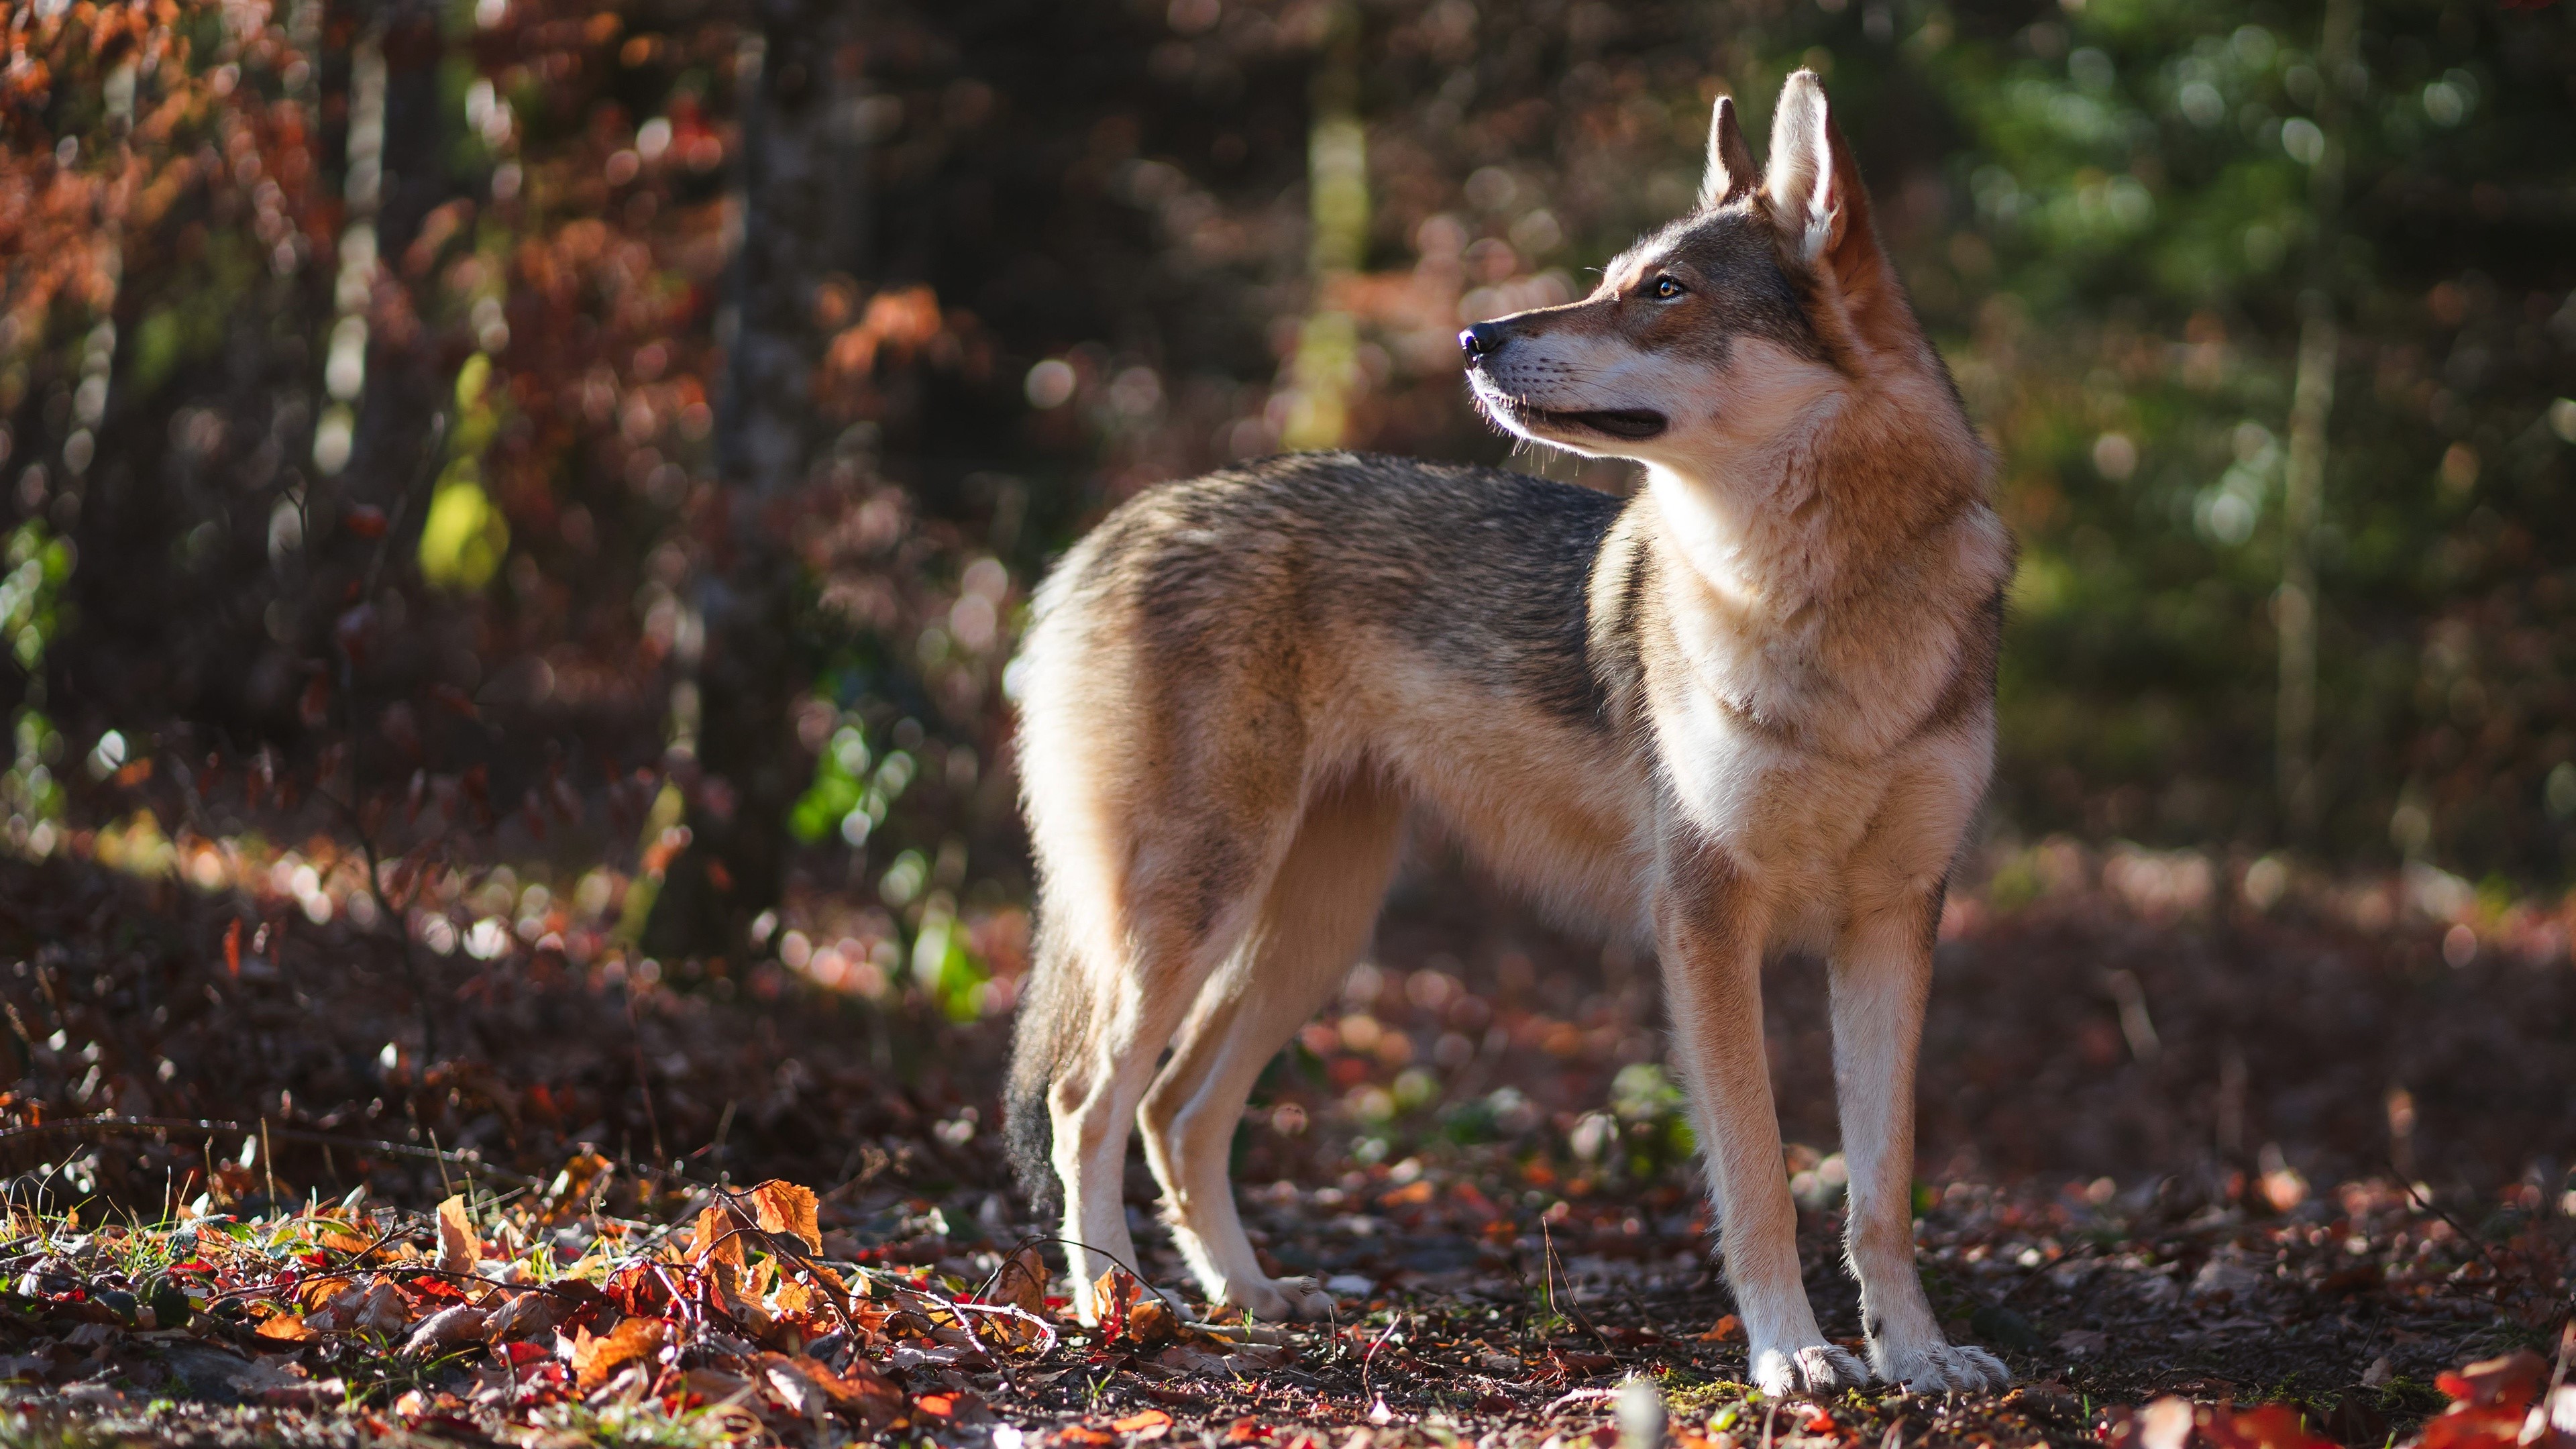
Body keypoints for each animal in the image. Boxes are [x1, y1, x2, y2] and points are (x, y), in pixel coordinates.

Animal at [1002, 69, 2013, 1395]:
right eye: (1613, 278)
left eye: (1662, 291)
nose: (1474, 337)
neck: (1828, 606)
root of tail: (1112, 531)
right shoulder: (1705, 919)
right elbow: (1758, 1176)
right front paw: (1792, 1356)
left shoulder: (1895, 924)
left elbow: (1882, 1188)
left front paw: (1920, 1357)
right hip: (1190, 916)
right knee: (1086, 1100)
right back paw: (1114, 1307)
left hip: (1313, 932)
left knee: (1178, 1112)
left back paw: (1251, 1298)